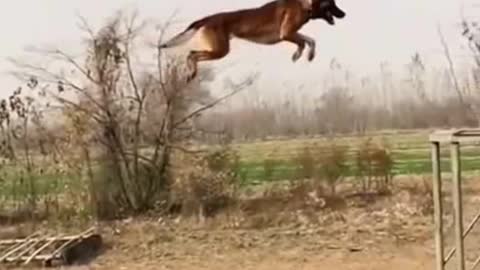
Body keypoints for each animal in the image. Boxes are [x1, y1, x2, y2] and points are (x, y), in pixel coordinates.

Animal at [160, 0, 344, 81]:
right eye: (332, 3)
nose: (344, 14)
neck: (305, 4)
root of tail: (207, 19)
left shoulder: (290, 34)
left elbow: (309, 40)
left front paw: (304, 55)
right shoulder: (286, 34)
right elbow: (306, 41)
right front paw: (300, 54)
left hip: (219, 50)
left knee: (191, 54)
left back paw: (190, 73)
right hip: (221, 50)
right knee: (192, 54)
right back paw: (191, 73)